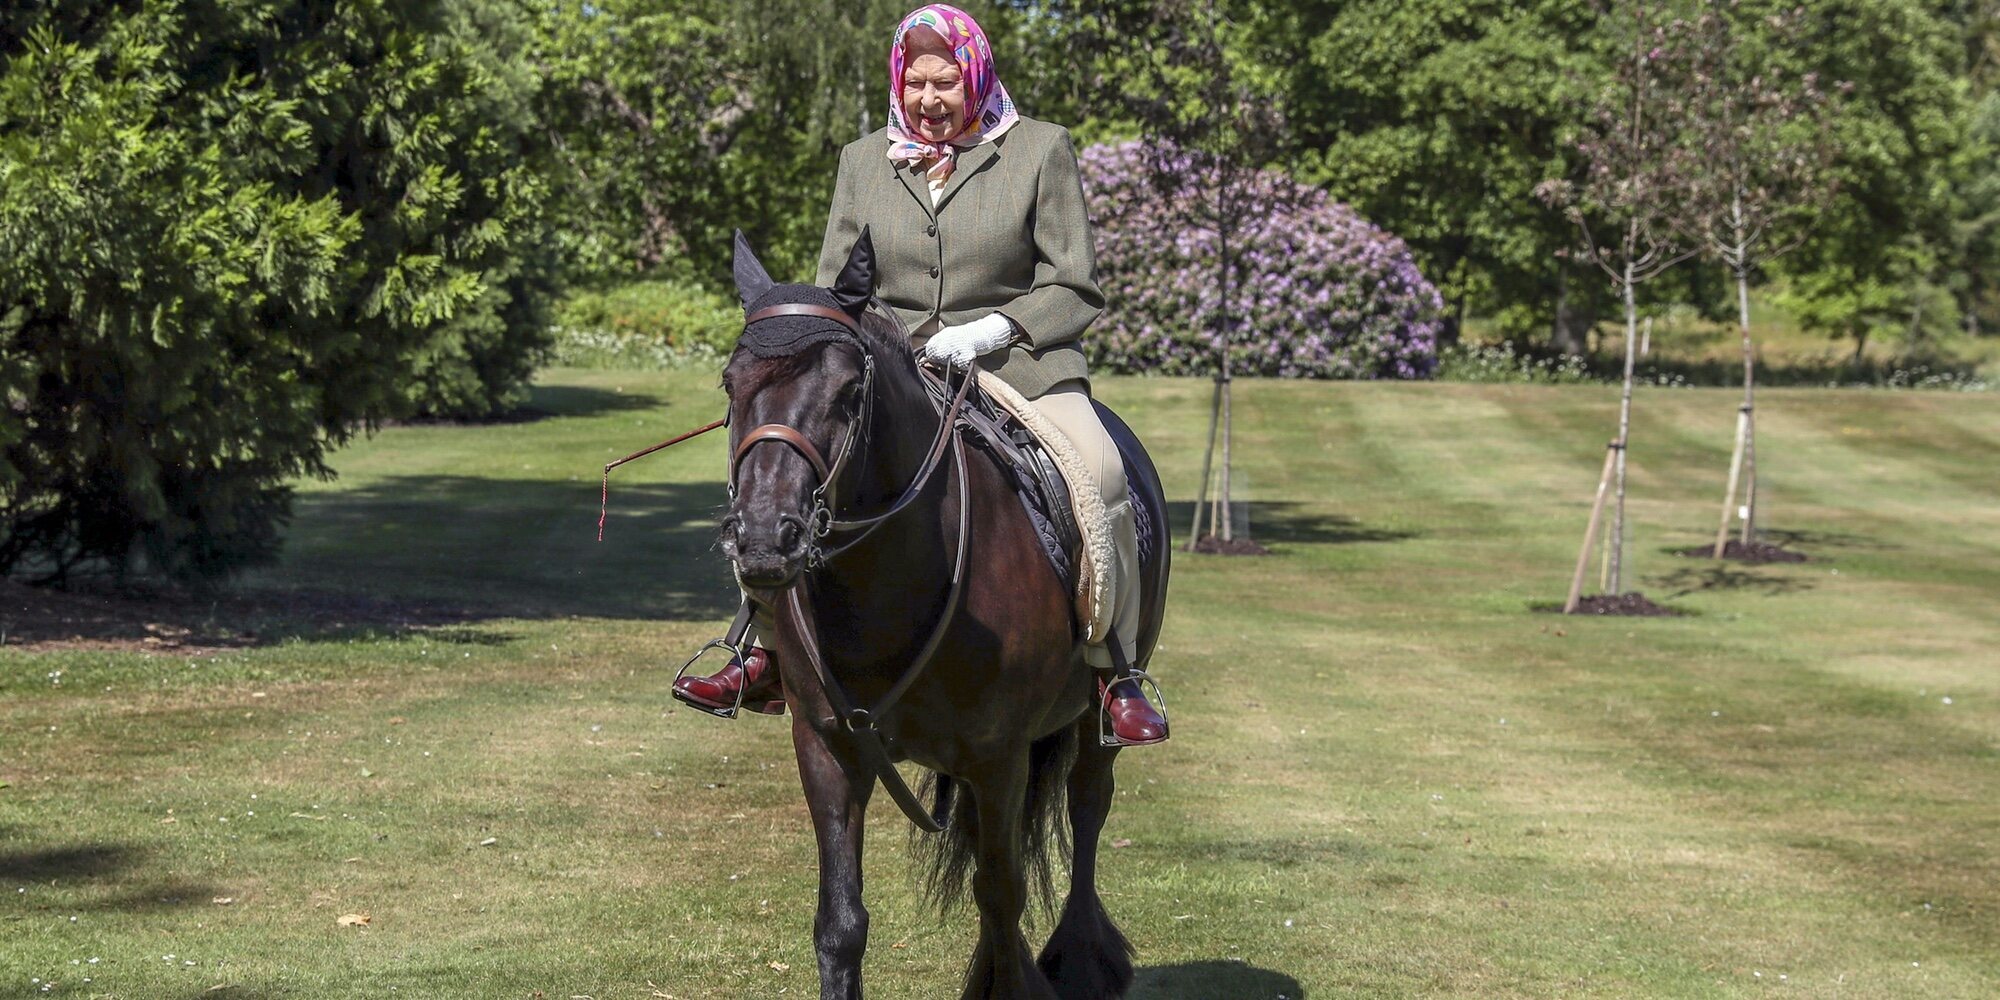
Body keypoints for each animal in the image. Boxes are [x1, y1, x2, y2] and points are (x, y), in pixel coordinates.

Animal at [712, 230, 1168, 996]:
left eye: (850, 390)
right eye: (730, 383)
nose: (766, 538)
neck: (884, 586)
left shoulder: (998, 754)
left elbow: (1002, 894)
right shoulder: (828, 746)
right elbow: (841, 922)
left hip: (1090, 720)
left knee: (1086, 810)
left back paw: (1081, 956)